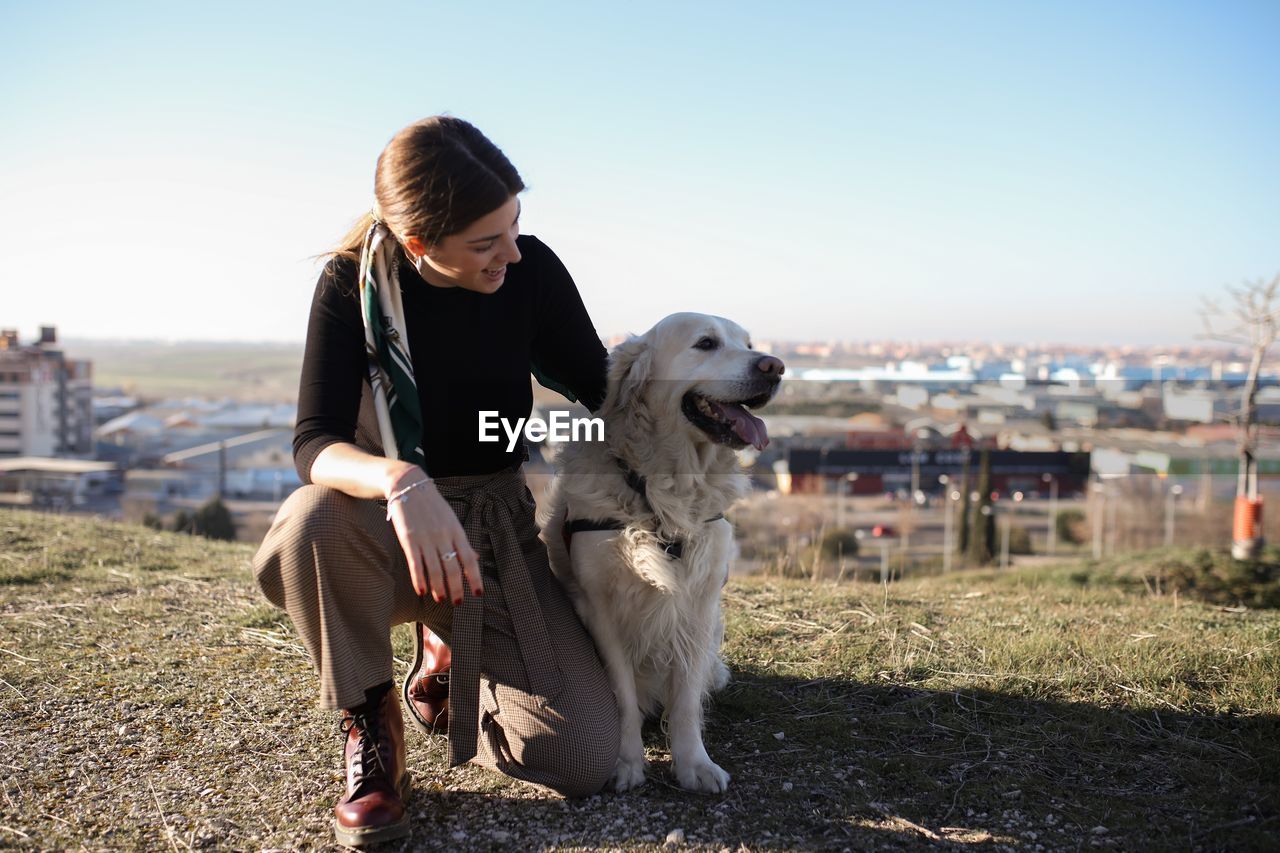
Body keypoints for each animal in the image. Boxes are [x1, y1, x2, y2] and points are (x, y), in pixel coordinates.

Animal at [540, 312, 778, 788]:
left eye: (748, 344)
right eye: (706, 343)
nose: (775, 367)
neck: (663, 490)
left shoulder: (699, 604)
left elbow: (685, 701)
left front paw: (693, 764)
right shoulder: (602, 608)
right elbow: (622, 695)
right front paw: (626, 761)